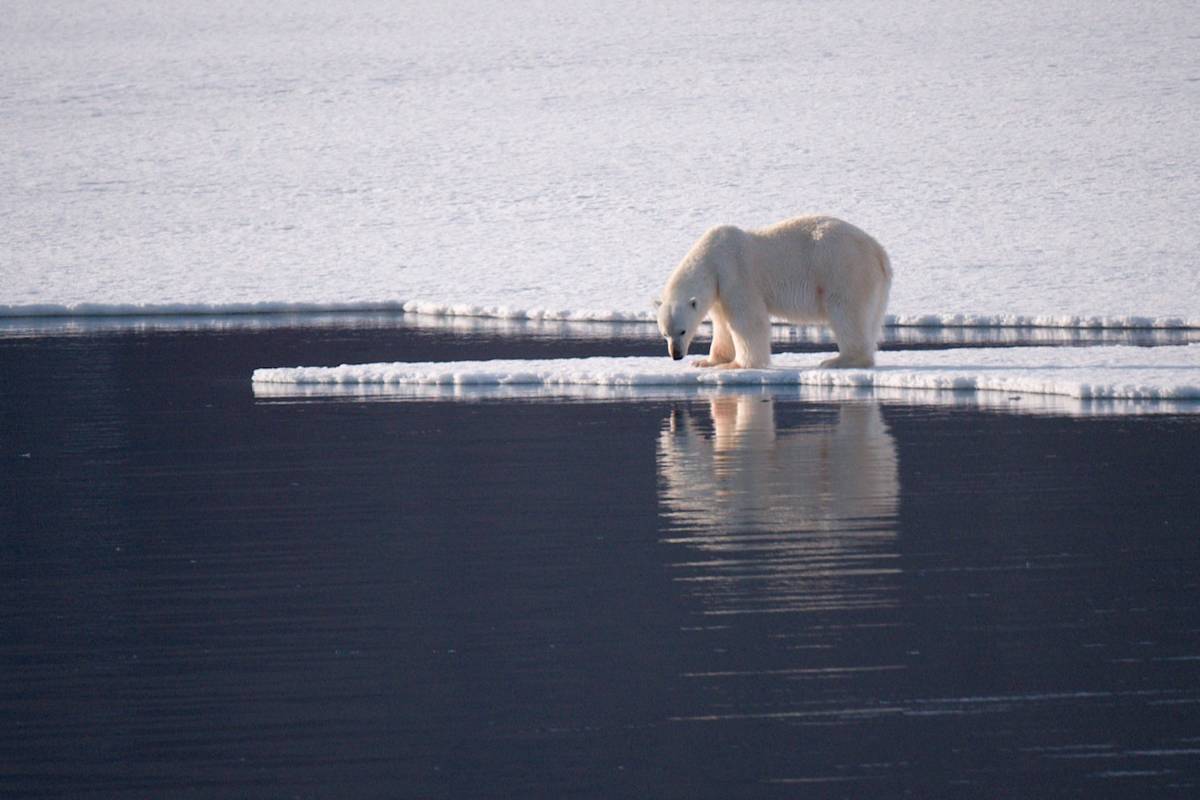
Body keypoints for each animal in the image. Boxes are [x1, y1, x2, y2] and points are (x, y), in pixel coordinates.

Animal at [654, 215, 892, 369]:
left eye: (682, 331)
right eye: (665, 333)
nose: (676, 355)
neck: (711, 257)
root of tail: (878, 252)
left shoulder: (735, 274)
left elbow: (747, 321)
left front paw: (737, 364)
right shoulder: (719, 291)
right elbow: (722, 324)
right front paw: (706, 361)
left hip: (843, 269)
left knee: (846, 312)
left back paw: (838, 360)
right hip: (874, 285)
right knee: (870, 318)